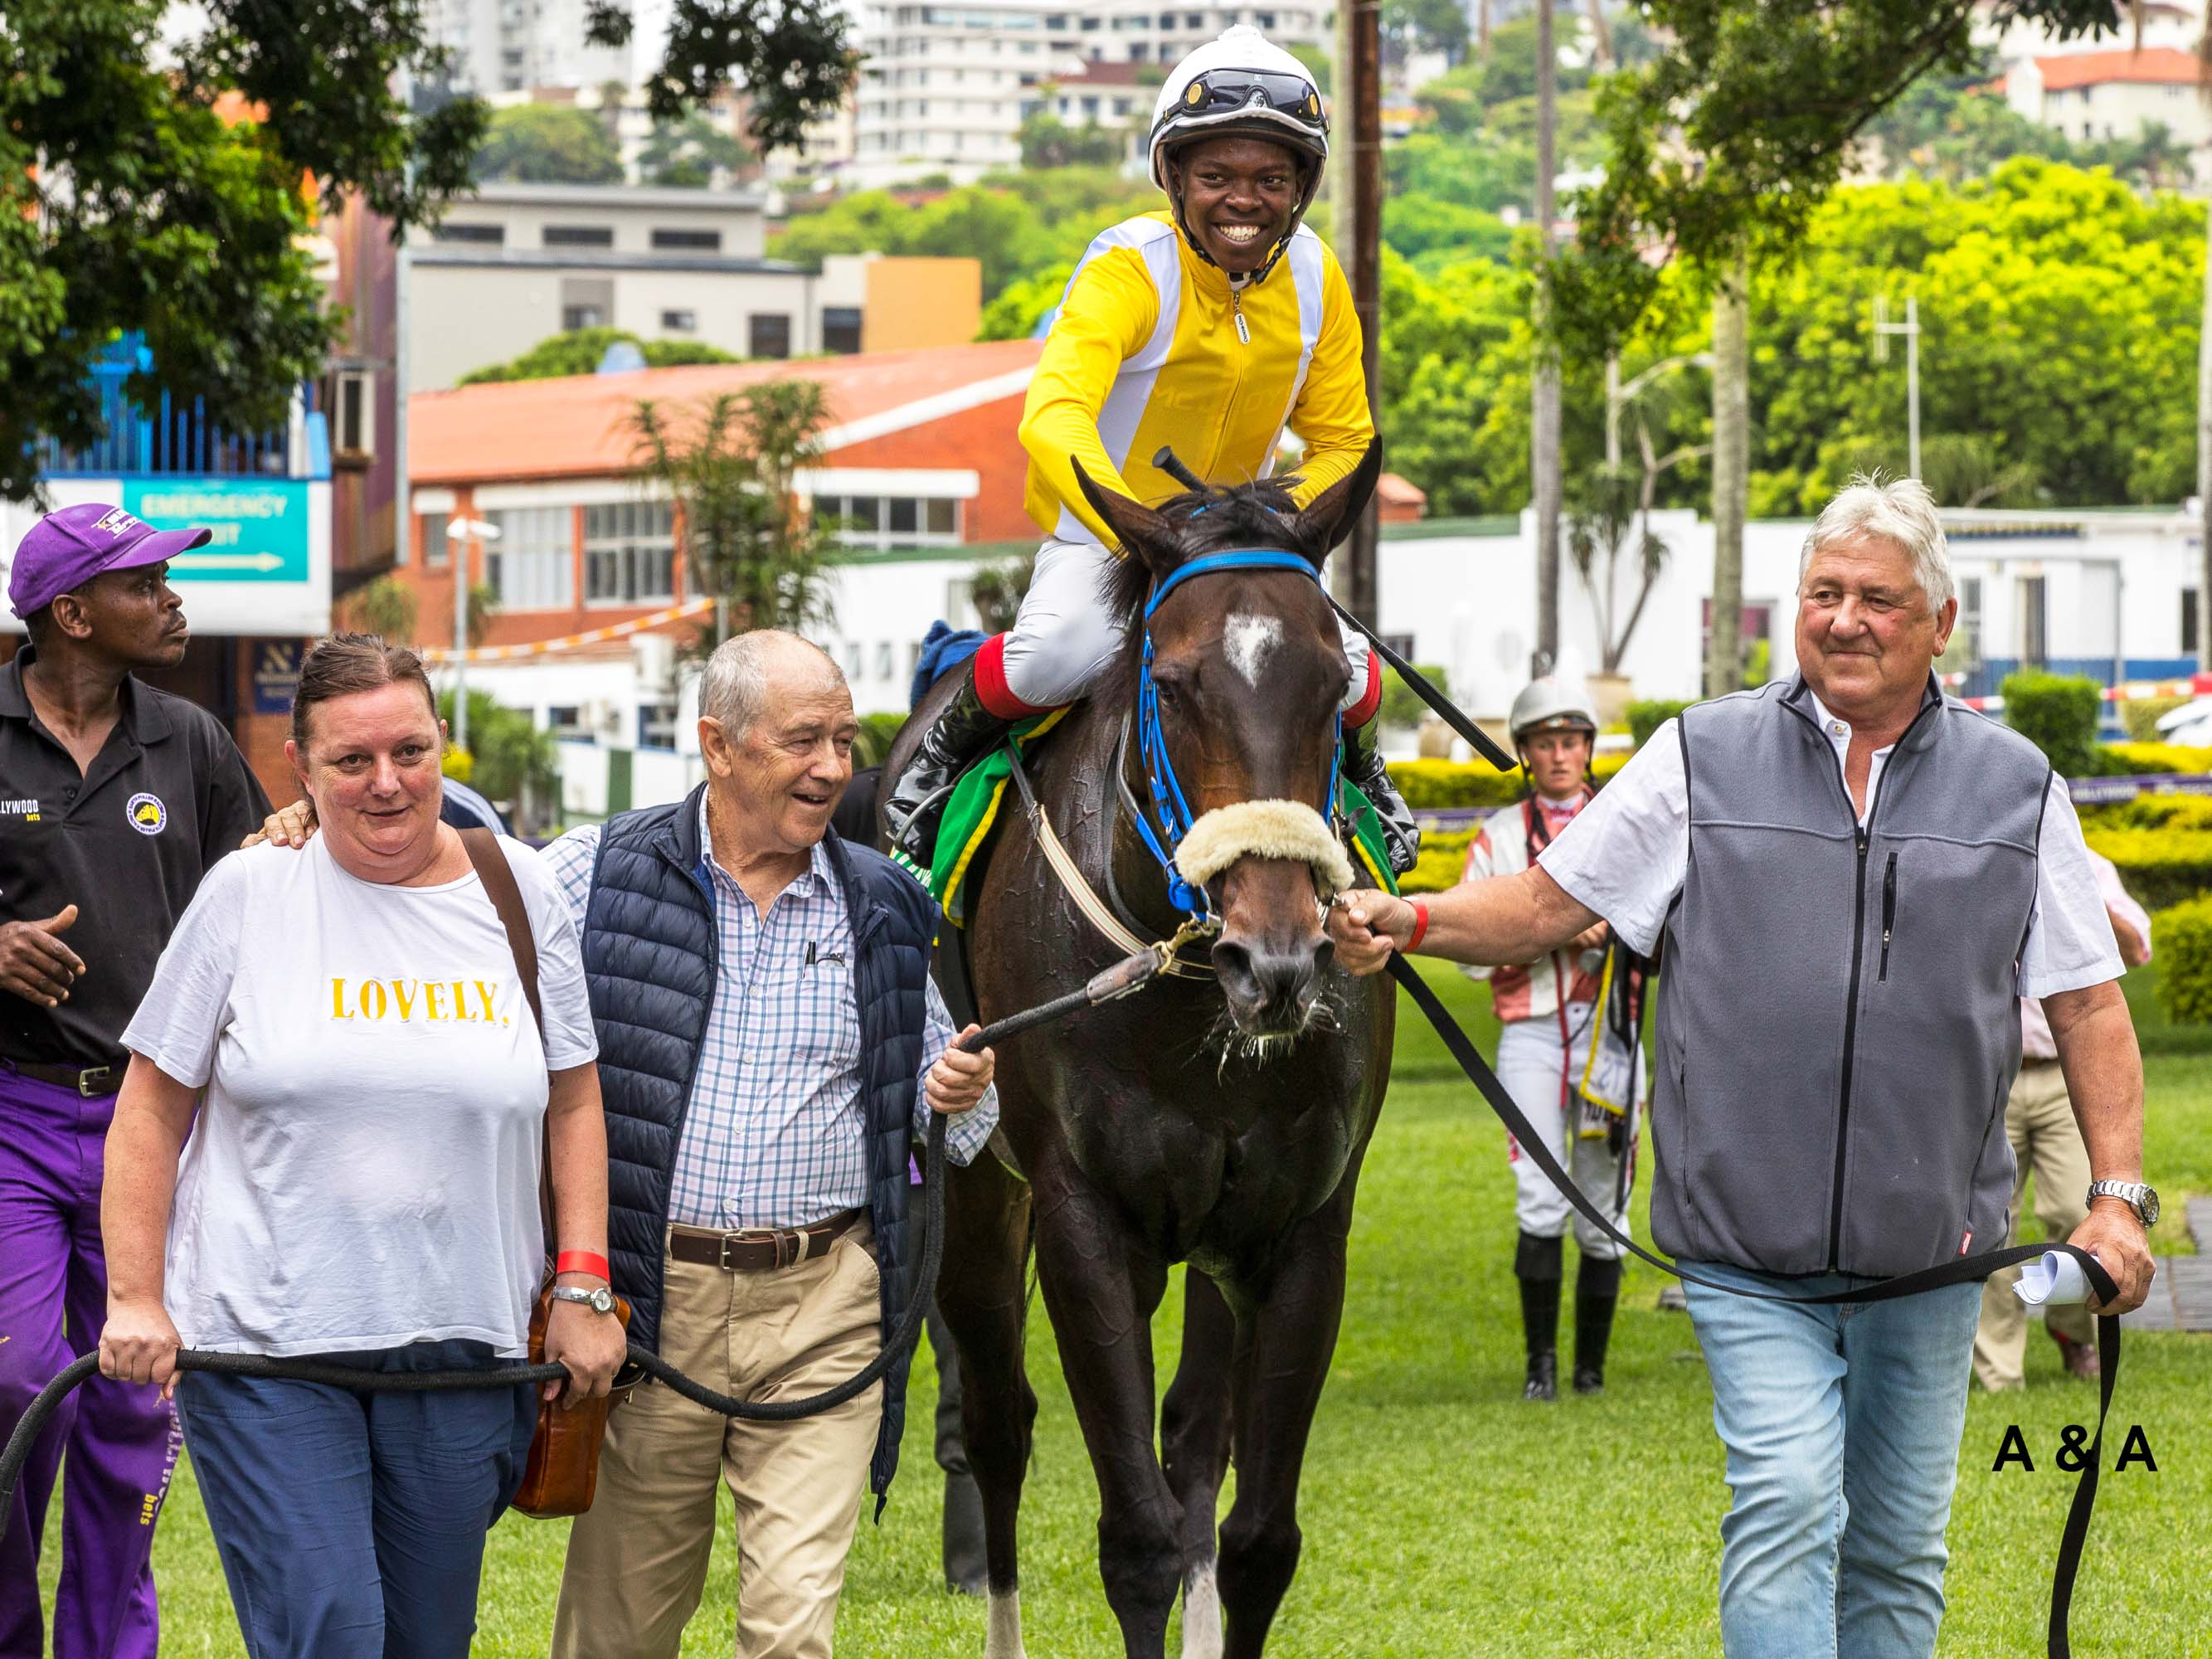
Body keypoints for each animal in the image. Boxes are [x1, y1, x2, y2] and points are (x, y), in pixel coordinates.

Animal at [883, 441, 1395, 1659]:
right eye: (1174, 684)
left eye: (1333, 686)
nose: (1277, 959)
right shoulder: (1080, 1217)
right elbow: (1138, 1539)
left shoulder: (1300, 1228)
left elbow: (1254, 1538)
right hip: (981, 1193)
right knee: (999, 1424)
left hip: (1207, 1245)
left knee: (1193, 1439)